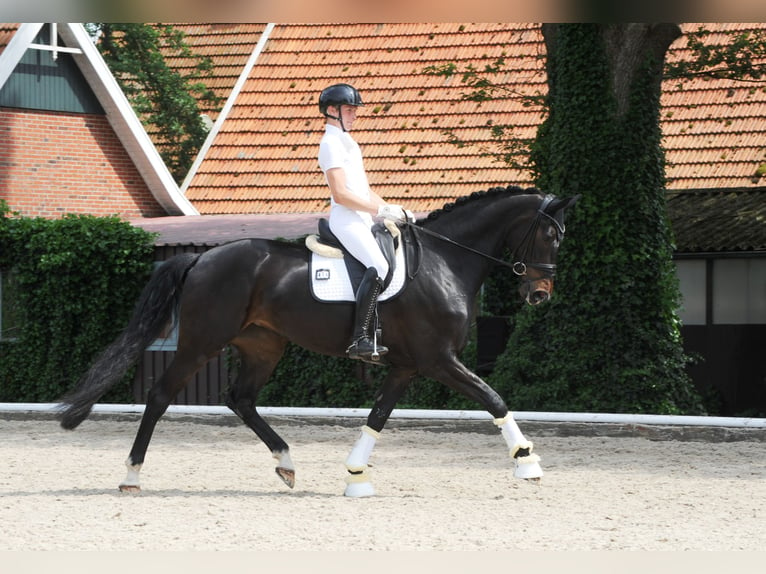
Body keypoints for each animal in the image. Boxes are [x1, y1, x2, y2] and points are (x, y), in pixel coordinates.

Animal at [57, 187, 580, 498]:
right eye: (550, 236)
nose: (539, 294)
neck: (444, 262)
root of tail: (202, 258)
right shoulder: (439, 360)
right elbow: (494, 398)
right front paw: (527, 463)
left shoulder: (406, 366)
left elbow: (377, 417)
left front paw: (356, 476)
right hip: (202, 342)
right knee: (161, 395)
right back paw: (131, 475)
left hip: (263, 346)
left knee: (240, 398)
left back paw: (286, 463)